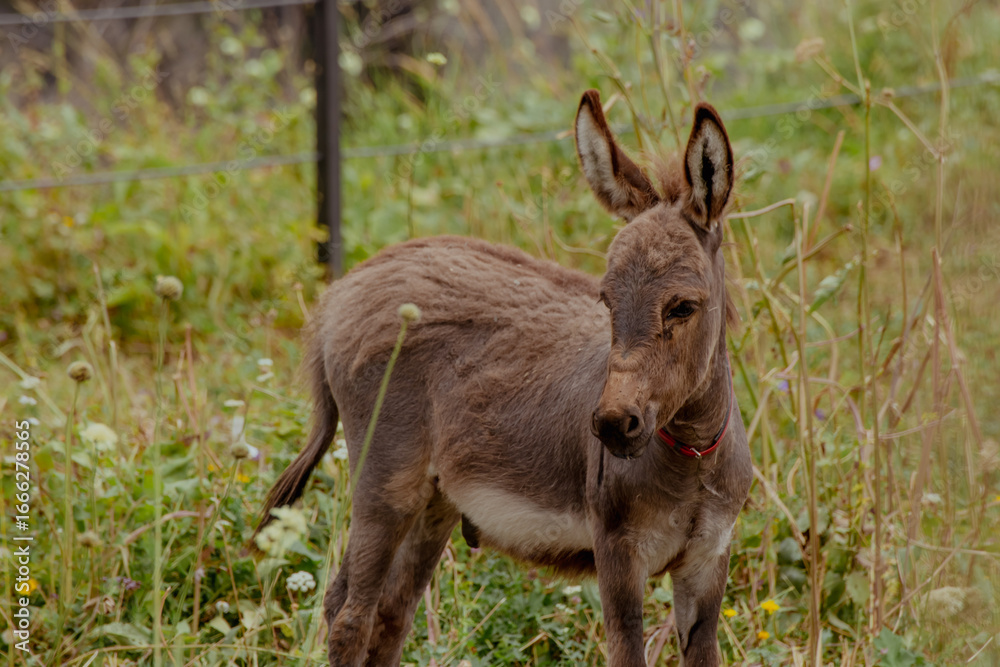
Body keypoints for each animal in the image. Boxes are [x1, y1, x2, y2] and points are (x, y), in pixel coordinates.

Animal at [255, 89, 753, 667]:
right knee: (350, 618)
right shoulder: (619, 554)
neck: (693, 454)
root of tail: (343, 288)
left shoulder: (707, 563)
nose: (611, 426)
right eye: (606, 300)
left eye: (682, 307)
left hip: (433, 503)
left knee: (387, 614)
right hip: (384, 485)